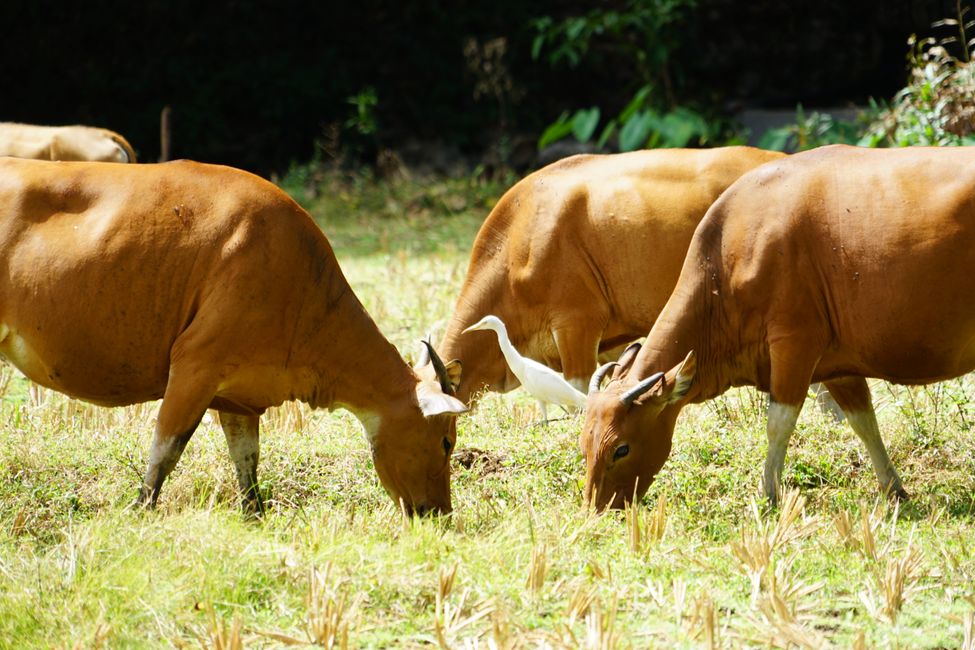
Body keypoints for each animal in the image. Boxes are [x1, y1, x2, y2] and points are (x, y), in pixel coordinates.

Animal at [0, 156, 468, 512]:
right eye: (446, 441)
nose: (439, 513)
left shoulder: (238, 397)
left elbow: (247, 461)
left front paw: (254, 513)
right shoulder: (193, 368)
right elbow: (165, 451)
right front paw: (141, 509)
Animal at [580, 144, 975, 508]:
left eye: (621, 449)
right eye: (584, 443)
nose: (597, 508)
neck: (730, 257)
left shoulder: (794, 343)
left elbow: (778, 423)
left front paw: (768, 493)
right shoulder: (838, 364)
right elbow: (864, 421)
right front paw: (894, 489)